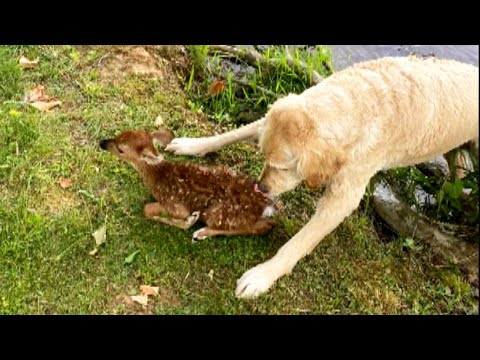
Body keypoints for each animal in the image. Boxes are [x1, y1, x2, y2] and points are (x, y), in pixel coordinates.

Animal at [164, 56, 476, 298]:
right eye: (264, 157)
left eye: (285, 167)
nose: (261, 187)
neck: (360, 101)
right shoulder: (270, 119)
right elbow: (233, 133)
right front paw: (192, 144)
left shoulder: (343, 196)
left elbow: (299, 243)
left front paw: (262, 276)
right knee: (458, 165)